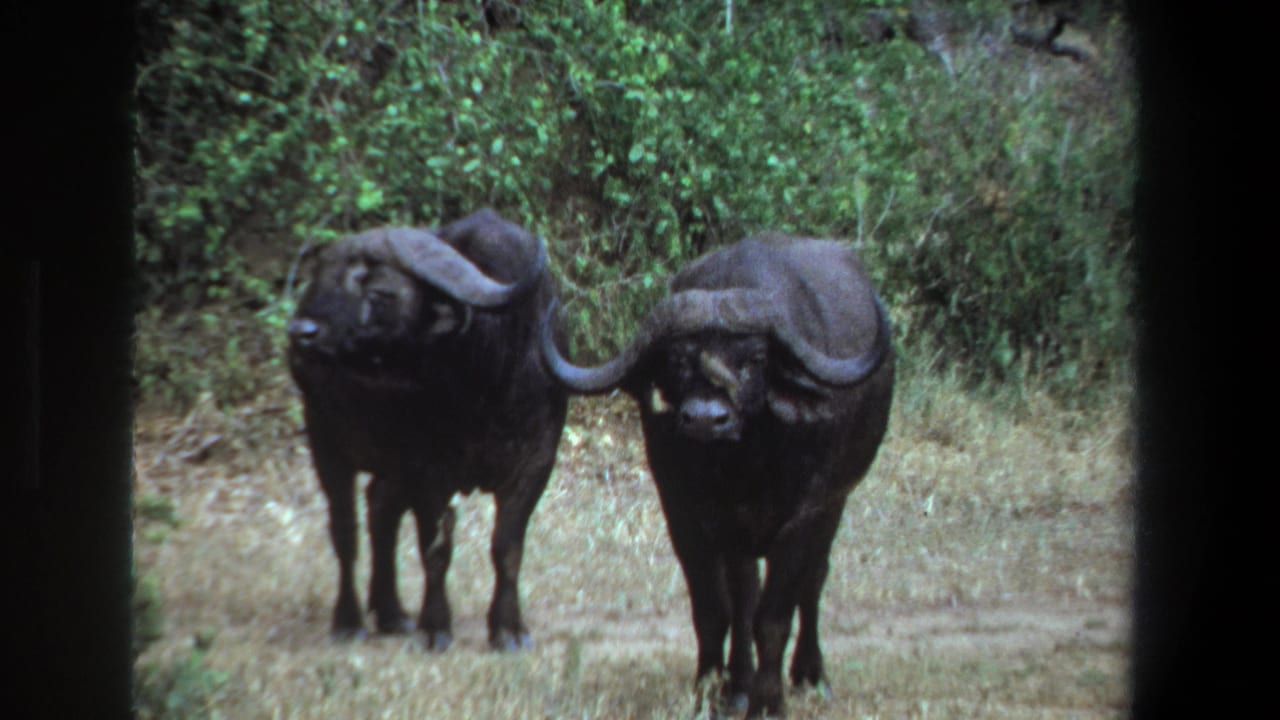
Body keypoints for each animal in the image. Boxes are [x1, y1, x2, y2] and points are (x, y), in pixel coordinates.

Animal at [288, 208, 567, 651]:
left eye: (380, 292)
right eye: (321, 280)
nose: (302, 333)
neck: (488, 381)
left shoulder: (536, 462)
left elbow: (507, 547)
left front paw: (508, 629)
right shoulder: (429, 469)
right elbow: (436, 548)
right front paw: (436, 627)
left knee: (380, 508)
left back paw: (391, 612)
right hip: (326, 442)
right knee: (346, 530)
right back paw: (349, 621)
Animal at [541, 234, 894, 716]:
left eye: (755, 359)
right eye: (677, 361)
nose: (707, 420)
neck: (741, 467)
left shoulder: (806, 515)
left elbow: (774, 615)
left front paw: (769, 701)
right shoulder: (685, 516)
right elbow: (715, 610)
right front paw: (710, 691)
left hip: (835, 503)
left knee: (814, 580)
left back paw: (810, 675)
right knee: (744, 597)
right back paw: (738, 686)